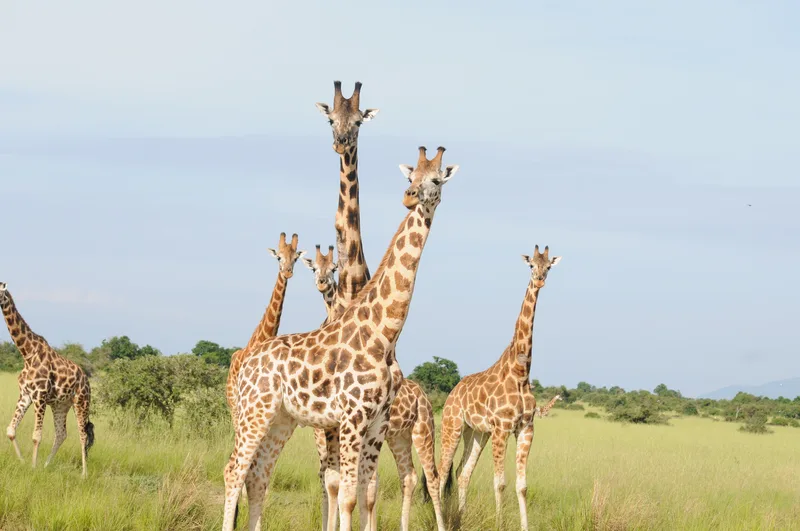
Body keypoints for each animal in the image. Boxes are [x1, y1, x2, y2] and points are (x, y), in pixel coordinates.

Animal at [1, 282, 94, 478]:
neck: (27, 353)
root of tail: (87, 381)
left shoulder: (40, 395)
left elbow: (37, 436)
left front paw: (33, 467)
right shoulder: (25, 394)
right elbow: (11, 430)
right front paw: (23, 462)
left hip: (81, 402)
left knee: (83, 436)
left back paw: (84, 474)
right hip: (60, 405)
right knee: (61, 433)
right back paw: (46, 465)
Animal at [303, 245, 446, 531]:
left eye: (333, 268)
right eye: (313, 268)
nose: (322, 283)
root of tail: (424, 396)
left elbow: (347, 484)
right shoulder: (329, 434)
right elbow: (332, 480)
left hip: (423, 430)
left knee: (432, 477)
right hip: (399, 437)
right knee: (409, 476)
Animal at [438, 246, 562, 531]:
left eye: (549, 266)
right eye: (531, 265)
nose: (540, 280)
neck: (521, 372)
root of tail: (452, 392)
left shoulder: (526, 429)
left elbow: (522, 485)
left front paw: (525, 526)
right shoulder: (502, 428)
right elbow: (500, 482)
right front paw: (499, 523)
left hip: (476, 433)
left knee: (462, 472)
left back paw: (461, 516)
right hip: (453, 426)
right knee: (441, 472)